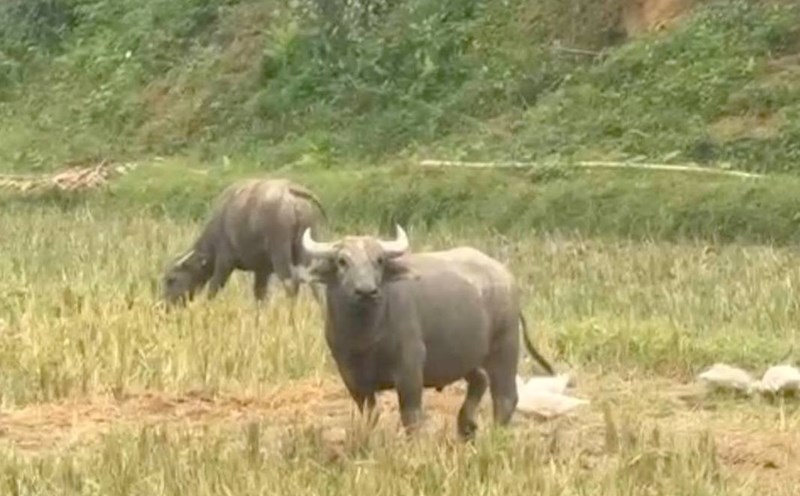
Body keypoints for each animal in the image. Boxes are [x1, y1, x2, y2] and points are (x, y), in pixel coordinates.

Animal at [162, 177, 326, 305]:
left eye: (171, 279)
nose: (165, 305)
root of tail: (291, 191)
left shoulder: (224, 262)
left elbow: (214, 288)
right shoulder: (262, 270)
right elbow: (259, 295)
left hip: (281, 253)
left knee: (291, 283)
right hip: (307, 249)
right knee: (315, 284)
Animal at [302, 224, 555, 439]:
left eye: (379, 260)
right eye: (342, 261)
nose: (366, 291)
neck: (366, 337)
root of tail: (506, 277)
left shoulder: (410, 369)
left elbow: (411, 416)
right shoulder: (351, 377)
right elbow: (369, 415)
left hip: (505, 347)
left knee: (505, 397)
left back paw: (495, 435)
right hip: (468, 355)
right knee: (480, 380)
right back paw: (466, 427)